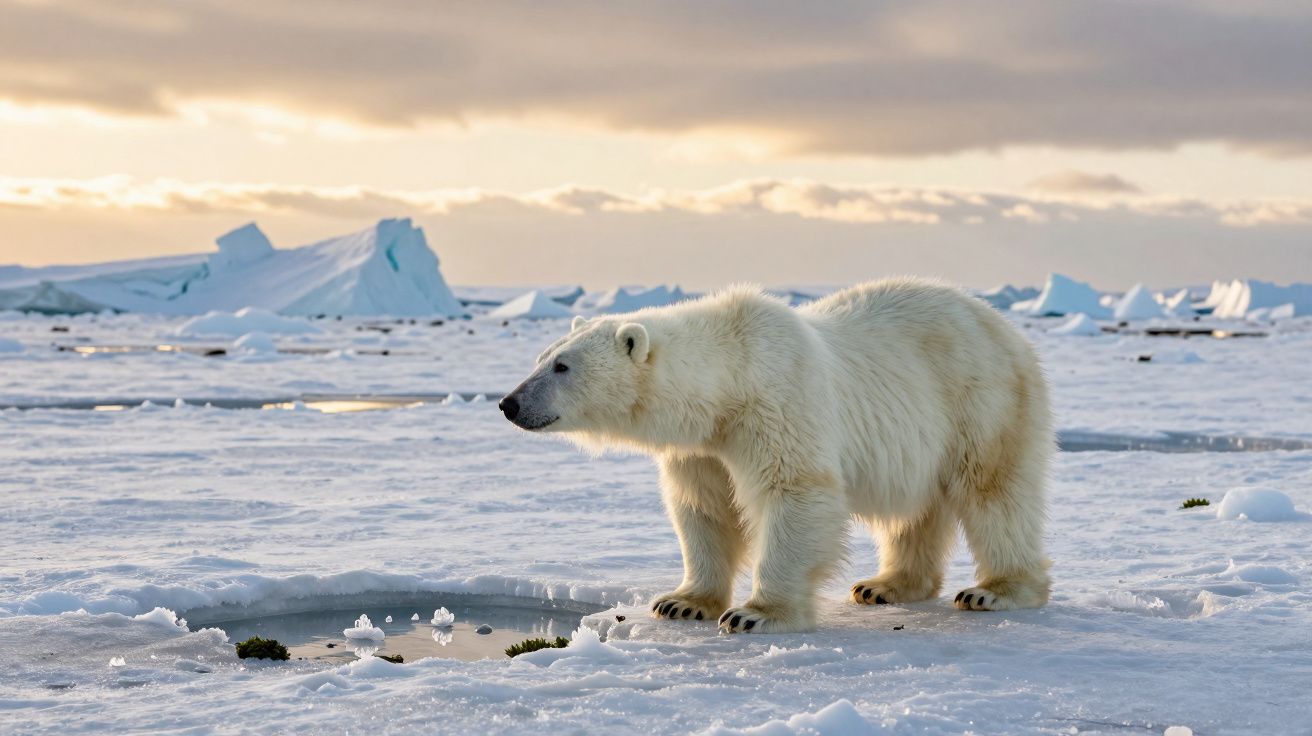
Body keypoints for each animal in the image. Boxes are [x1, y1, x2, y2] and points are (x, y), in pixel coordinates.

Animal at [499, 278, 1053, 633]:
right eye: (541, 357)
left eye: (563, 365)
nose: (509, 403)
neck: (729, 377)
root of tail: (1006, 328)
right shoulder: (703, 446)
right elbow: (705, 508)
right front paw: (682, 602)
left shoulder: (777, 404)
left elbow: (795, 494)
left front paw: (755, 613)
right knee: (913, 513)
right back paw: (884, 585)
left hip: (981, 400)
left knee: (994, 491)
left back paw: (995, 590)